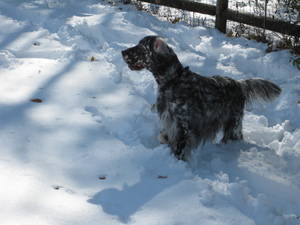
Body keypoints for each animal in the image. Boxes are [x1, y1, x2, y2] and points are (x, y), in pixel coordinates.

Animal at [121, 36, 282, 161]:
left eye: (141, 47)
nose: (122, 52)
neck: (173, 80)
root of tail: (238, 83)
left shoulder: (183, 126)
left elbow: (179, 151)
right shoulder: (170, 122)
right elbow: (162, 136)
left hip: (234, 124)